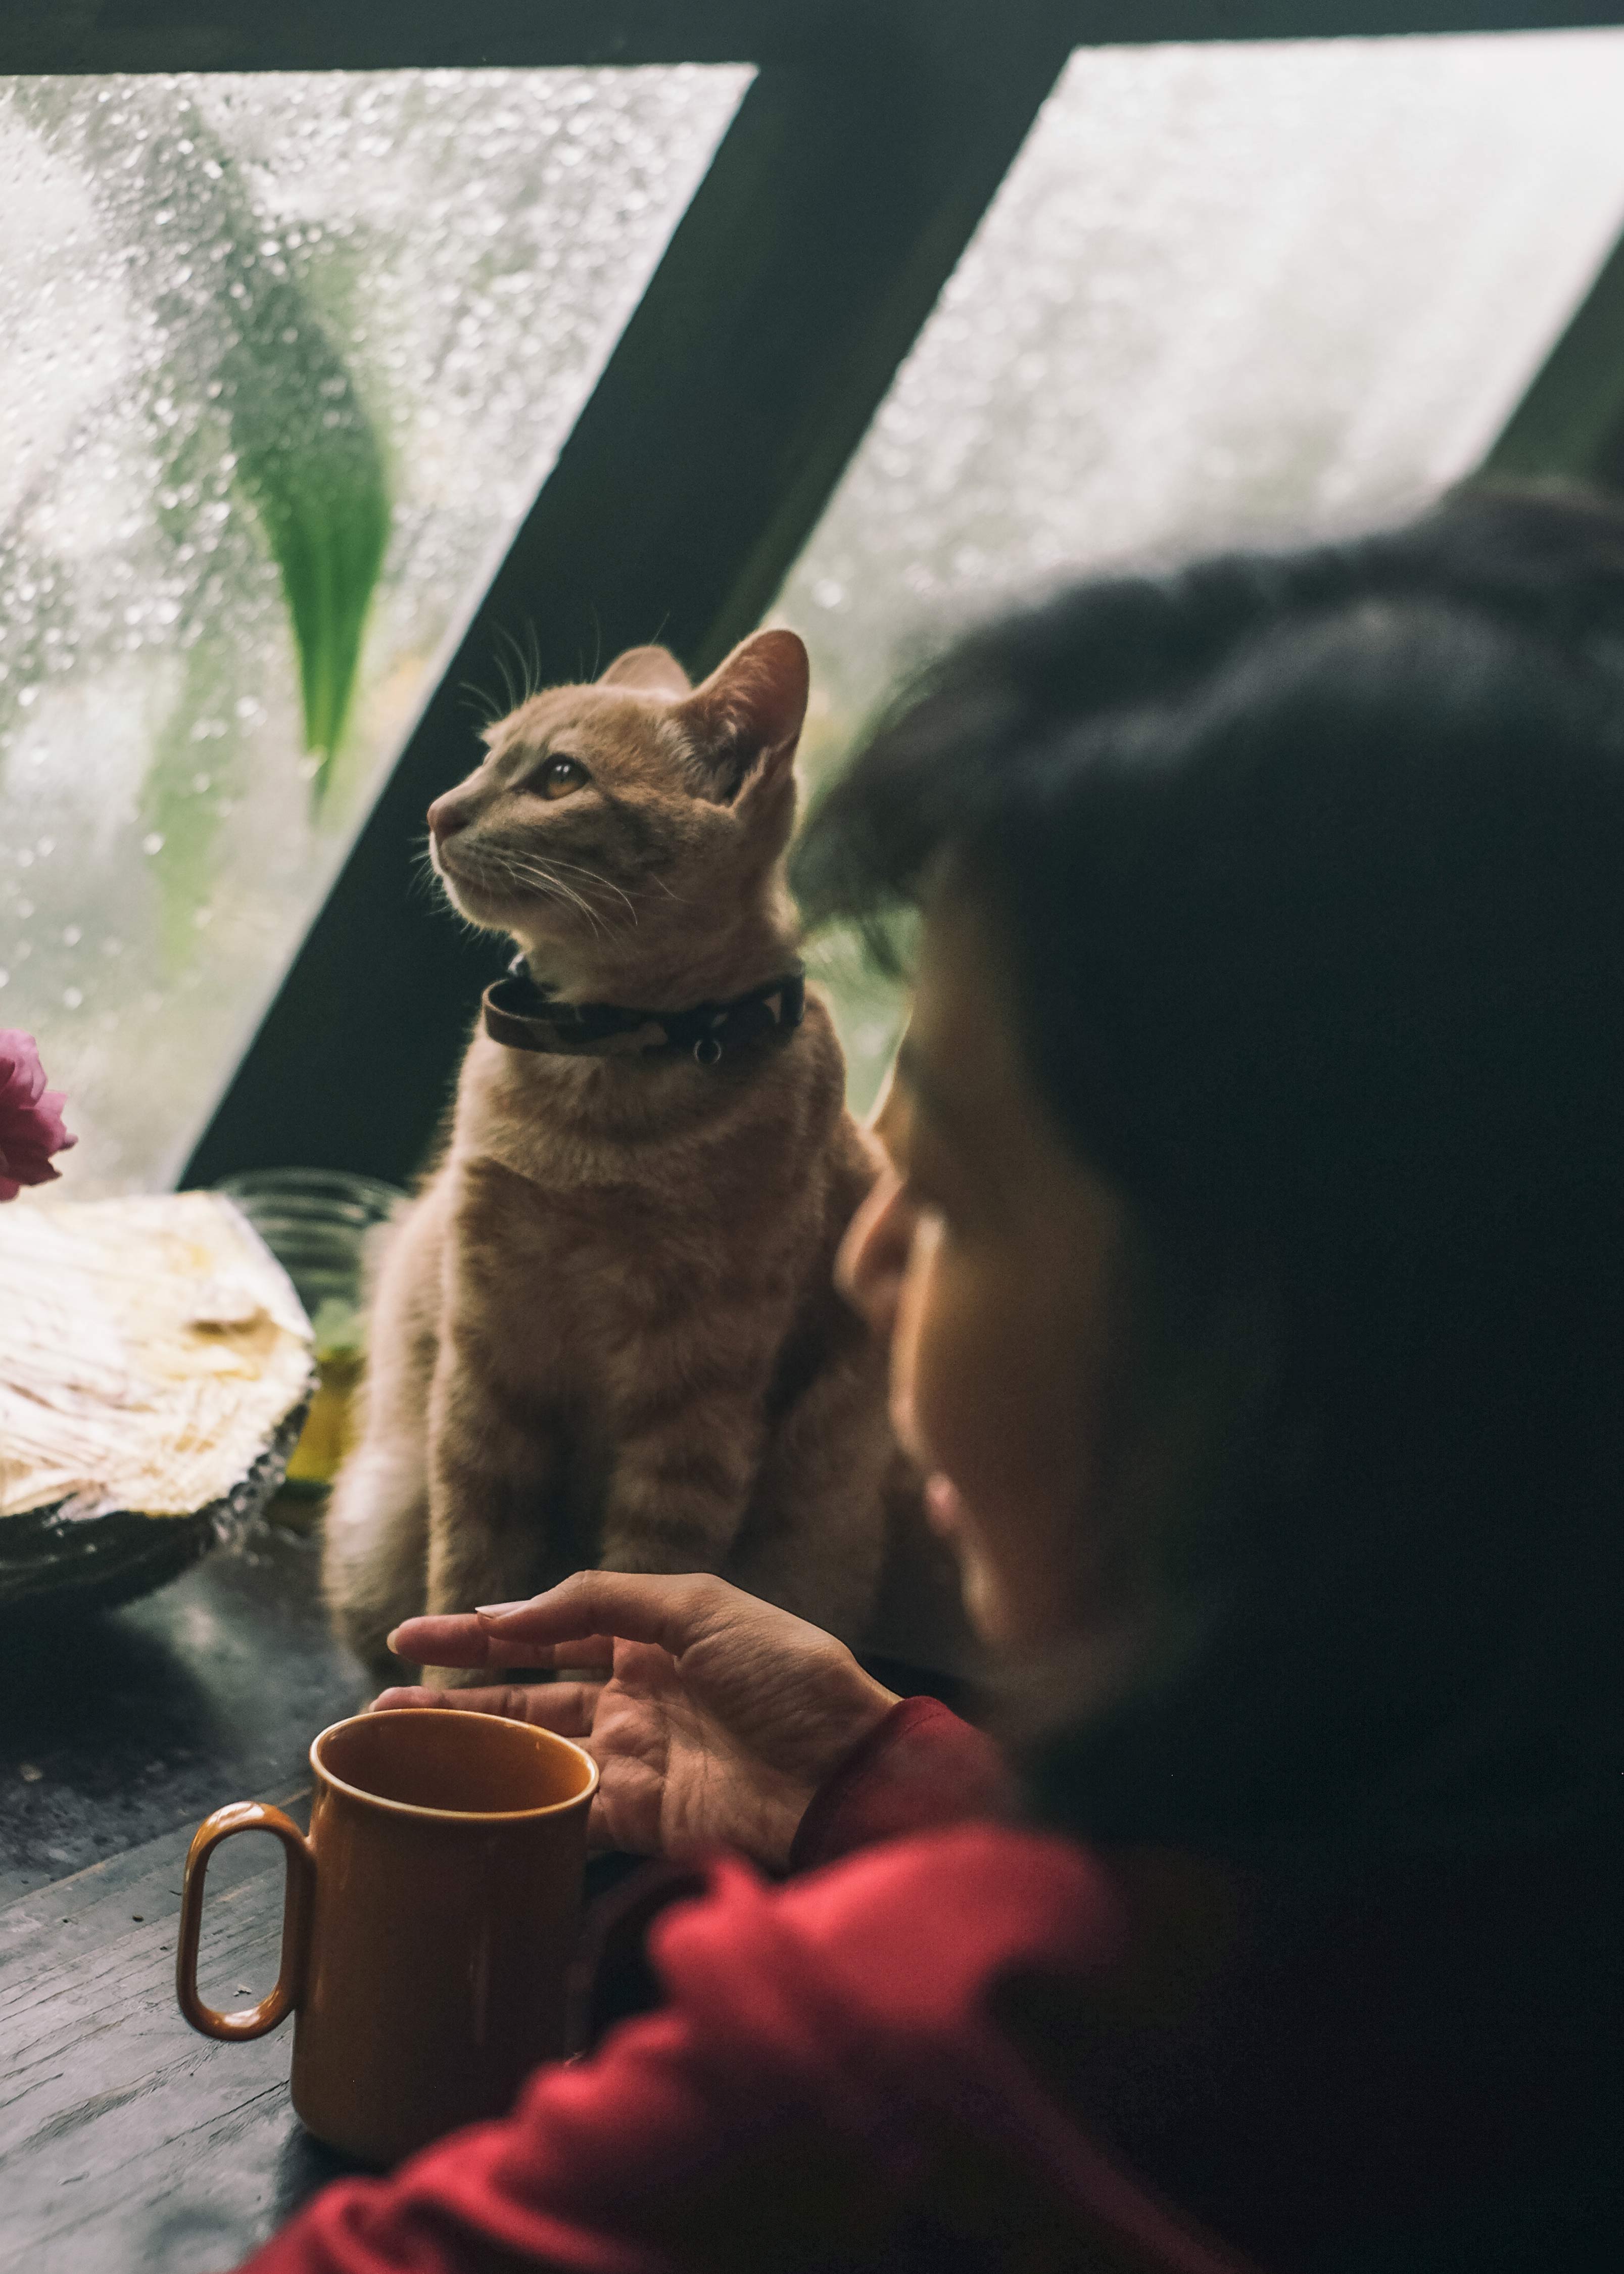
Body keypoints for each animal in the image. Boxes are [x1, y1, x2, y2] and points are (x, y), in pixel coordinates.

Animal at [320, 632, 891, 1683]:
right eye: (487, 757)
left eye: (558, 777)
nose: (438, 809)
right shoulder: (488, 1361)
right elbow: (469, 1578)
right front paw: (452, 1701)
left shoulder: (695, 1418)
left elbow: (631, 1598)